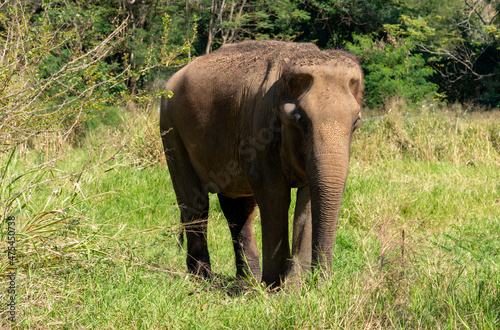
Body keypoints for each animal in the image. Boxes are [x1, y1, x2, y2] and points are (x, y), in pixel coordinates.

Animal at [160, 40, 364, 284]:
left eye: (356, 121)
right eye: (300, 119)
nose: (322, 281)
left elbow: (307, 200)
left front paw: (293, 286)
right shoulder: (260, 129)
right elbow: (274, 194)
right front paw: (275, 285)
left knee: (238, 209)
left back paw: (248, 281)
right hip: (171, 130)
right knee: (195, 202)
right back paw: (203, 278)